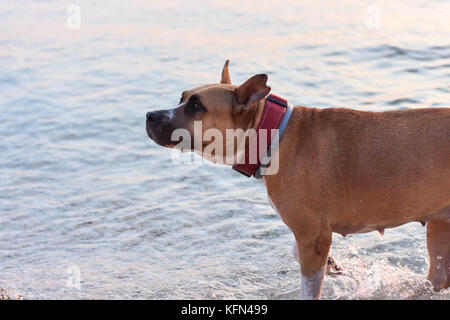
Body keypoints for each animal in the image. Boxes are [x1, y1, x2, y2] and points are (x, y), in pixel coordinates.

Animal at [146, 61, 448, 298]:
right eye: (182, 97)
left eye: (196, 106)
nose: (149, 115)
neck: (272, 133)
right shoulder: (312, 235)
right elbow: (299, 251)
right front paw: (332, 263)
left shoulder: (312, 236)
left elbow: (308, 286)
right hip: (440, 224)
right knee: (438, 277)